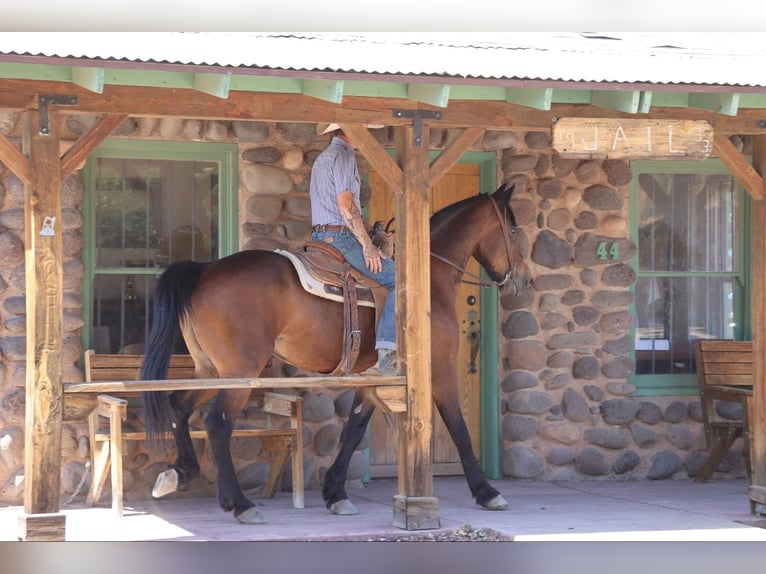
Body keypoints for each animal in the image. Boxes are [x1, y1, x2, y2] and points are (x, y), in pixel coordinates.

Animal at [139, 182, 531, 524]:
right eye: (513, 230)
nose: (524, 279)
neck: (425, 280)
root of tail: (204, 270)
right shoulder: (440, 370)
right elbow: (458, 427)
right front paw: (486, 492)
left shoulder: (374, 378)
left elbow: (355, 427)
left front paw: (335, 492)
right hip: (239, 373)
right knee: (217, 424)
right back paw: (240, 503)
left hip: (210, 369)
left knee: (178, 407)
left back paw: (180, 473)